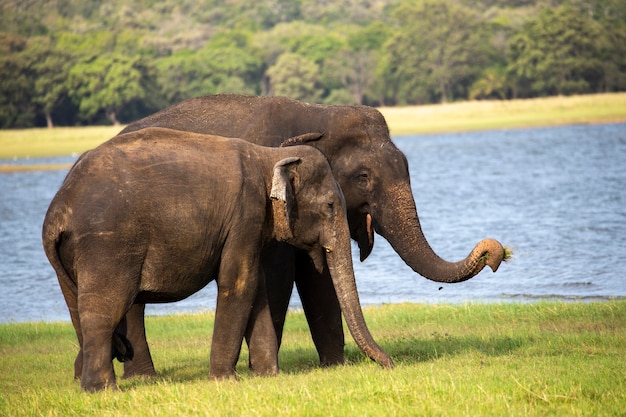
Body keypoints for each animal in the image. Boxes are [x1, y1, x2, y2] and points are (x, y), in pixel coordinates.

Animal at [41, 127, 390, 390]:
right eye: (330, 206)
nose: (388, 363)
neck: (268, 155)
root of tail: (57, 211)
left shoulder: (249, 226)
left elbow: (256, 288)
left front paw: (268, 375)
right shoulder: (245, 213)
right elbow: (239, 282)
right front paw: (225, 380)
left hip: (70, 258)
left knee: (77, 309)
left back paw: (85, 382)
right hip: (107, 244)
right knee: (104, 310)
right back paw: (102, 390)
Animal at [114, 93, 504, 376]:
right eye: (364, 177)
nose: (494, 253)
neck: (318, 115)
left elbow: (319, 277)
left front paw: (334, 365)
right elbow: (278, 275)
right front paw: (262, 369)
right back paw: (143, 377)